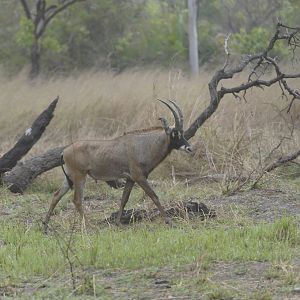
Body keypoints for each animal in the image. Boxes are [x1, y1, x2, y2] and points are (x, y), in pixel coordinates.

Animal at [43, 99, 191, 231]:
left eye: (182, 132)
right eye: (175, 133)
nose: (189, 148)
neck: (143, 144)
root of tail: (65, 151)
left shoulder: (130, 179)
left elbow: (124, 199)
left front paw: (118, 223)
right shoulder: (139, 177)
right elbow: (154, 196)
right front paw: (169, 221)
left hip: (69, 178)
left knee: (56, 195)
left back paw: (45, 226)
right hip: (80, 177)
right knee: (77, 200)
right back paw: (89, 227)